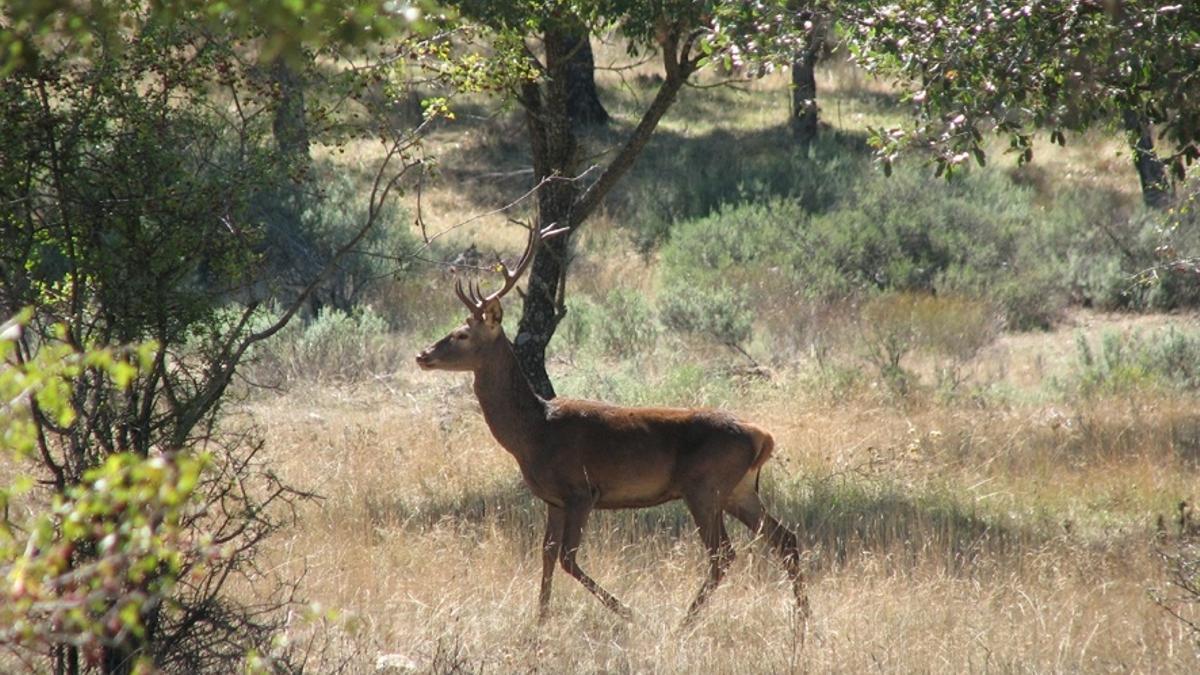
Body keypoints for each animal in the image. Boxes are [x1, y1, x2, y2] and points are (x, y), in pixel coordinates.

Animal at [417, 223, 811, 624]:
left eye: (462, 334)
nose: (422, 354)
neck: (532, 434)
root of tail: (762, 436)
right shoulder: (553, 499)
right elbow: (546, 555)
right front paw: (540, 620)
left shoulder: (581, 490)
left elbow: (567, 559)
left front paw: (628, 612)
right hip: (739, 489)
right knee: (785, 539)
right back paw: (802, 618)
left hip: (705, 486)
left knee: (724, 554)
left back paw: (683, 623)